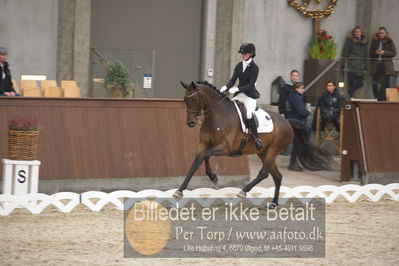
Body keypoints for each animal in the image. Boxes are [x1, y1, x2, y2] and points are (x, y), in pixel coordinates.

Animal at [173, 81, 332, 208]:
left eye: (194, 99)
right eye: (185, 100)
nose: (190, 123)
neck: (216, 115)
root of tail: (288, 122)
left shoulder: (225, 148)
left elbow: (205, 156)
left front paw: (214, 178)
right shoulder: (203, 144)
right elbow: (196, 162)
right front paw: (180, 191)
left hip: (273, 150)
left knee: (264, 173)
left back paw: (242, 192)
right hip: (263, 152)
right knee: (277, 176)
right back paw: (273, 203)